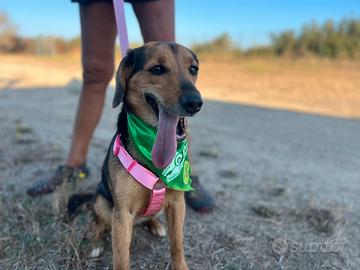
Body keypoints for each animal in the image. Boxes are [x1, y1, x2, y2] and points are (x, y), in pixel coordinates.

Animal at [67, 41, 202, 268]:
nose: (195, 103)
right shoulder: (122, 213)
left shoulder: (177, 204)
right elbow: (121, 258)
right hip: (103, 201)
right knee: (97, 222)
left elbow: (177, 244)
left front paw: (180, 265)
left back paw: (155, 224)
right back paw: (95, 243)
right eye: (157, 69)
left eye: (193, 69)